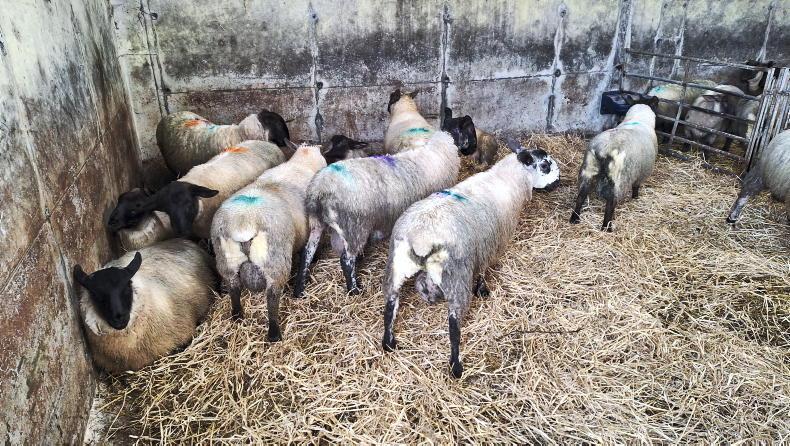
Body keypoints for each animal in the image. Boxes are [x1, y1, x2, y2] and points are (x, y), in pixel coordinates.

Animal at [210, 144, 327, 339]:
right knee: (272, 297)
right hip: (275, 262)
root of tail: (244, 222)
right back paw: (274, 334)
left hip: (226, 262)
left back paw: (237, 316)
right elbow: (309, 252)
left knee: (234, 289)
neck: (302, 163)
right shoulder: (315, 227)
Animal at [293, 92, 462, 298]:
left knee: (307, 254)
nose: (325, 155)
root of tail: (319, 190)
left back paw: (299, 290)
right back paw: (354, 290)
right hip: (354, 227)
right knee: (346, 260)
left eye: (340, 143)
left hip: (317, 223)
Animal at [381, 139, 560, 378]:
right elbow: (483, 271)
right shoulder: (488, 247)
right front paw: (483, 290)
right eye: (546, 165)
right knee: (454, 325)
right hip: (457, 276)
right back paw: (456, 367)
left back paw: (389, 342)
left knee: (390, 305)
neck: (509, 180)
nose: (559, 181)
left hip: (397, 266)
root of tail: (420, 237)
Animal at [570, 99, 658, 231]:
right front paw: (635, 197)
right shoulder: (642, 173)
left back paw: (575, 218)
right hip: (619, 179)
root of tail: (604, 149)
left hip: (588, 169)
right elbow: (636, 187)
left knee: (581, 196)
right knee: (611, 203)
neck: (638, 119)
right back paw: (607, 227)